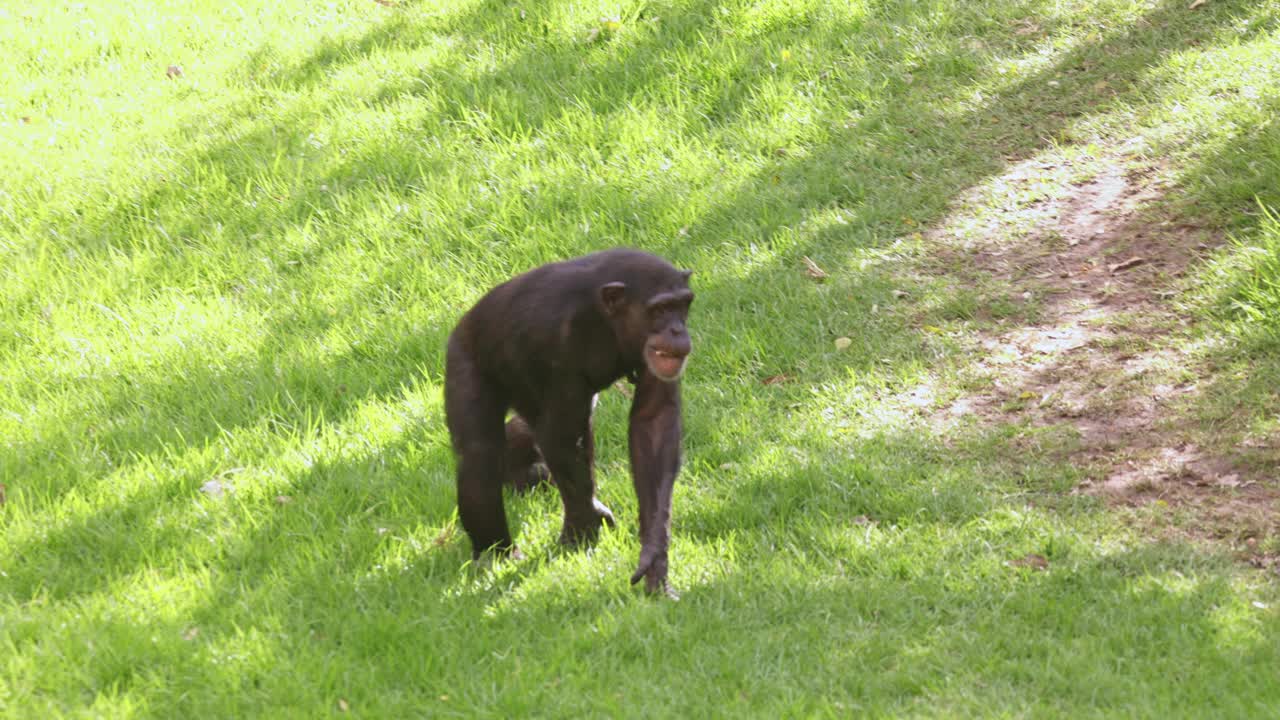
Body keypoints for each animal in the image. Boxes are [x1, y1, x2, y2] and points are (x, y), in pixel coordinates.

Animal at [445, 248, 696, 594]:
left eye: (682, 305)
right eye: (659, 309)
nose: (676, 330)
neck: (606, 320)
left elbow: (653, 422)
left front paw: (655, 554)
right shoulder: (554, 336)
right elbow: (559, 437)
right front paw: (582, 529)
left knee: (525, 431)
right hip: (464, 357)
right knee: (480, 454)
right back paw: (496, 553)